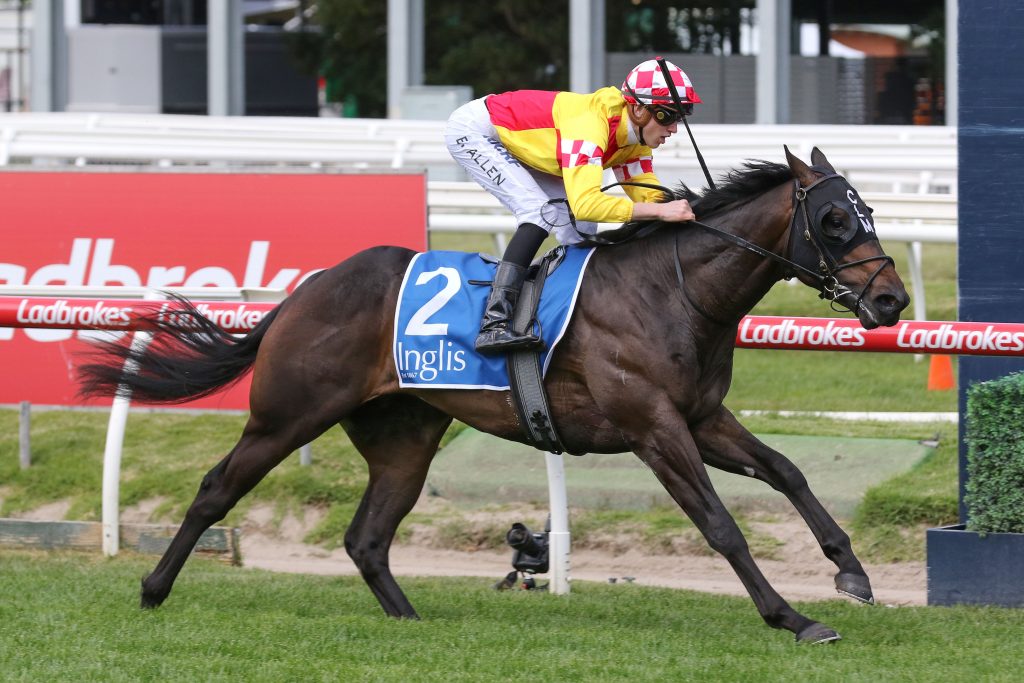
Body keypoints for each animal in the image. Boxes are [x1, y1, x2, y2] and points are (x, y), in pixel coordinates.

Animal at [78, 147, 909, 644]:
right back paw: (152, 588)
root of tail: (306, 289)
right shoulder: (654, 426)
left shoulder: (702, 417)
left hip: (404, 436)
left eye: (868, 211)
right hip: (287, 414)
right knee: (217, 488)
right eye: (835, 219)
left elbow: (788, 471)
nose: (892, 299)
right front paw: (791, 615)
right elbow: (721, 524)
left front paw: (851, 570)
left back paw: (411, 619)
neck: (674, 291)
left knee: (367, 535)